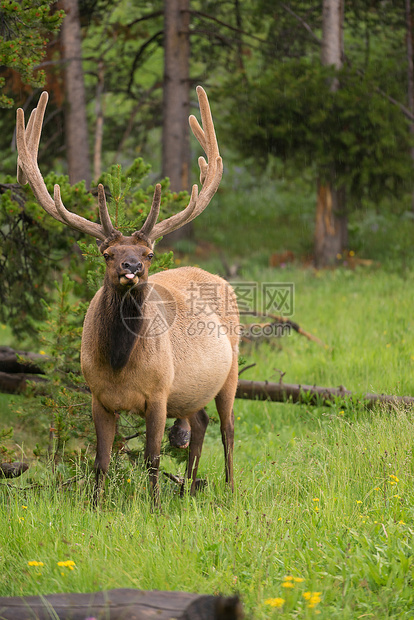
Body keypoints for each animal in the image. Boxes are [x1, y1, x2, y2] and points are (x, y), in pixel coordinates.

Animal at [16, 86, 241, 504]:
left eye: (149, 253)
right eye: (108, 253)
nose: (131, 267)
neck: (119, 364)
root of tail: (218, 278)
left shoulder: (159, 392)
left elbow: (152, 457)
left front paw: (154, 507)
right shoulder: (98, 396)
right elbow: (101, 460)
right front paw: (95, 505)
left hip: (231, 367)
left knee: (228, 428)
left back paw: (230, 489)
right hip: (190, 391)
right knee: (200, 422)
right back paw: (188, 490)